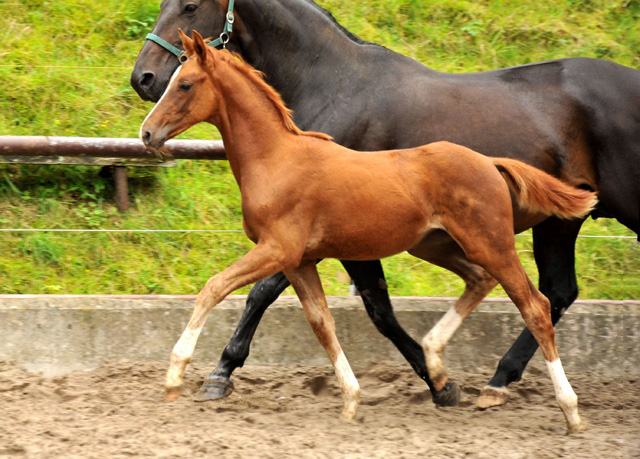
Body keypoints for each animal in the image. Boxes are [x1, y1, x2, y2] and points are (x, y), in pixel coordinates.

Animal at [131, 0, 640, 410]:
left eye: (190, 5)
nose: (143, 79)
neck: (333, 82)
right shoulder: (328, 245)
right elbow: (358, 311)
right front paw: (434, 381)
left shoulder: (304, 242)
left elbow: (257, 293)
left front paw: (214, 373)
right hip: (546, 225)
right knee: (556, 290)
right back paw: (497, 381)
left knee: (540, 297)